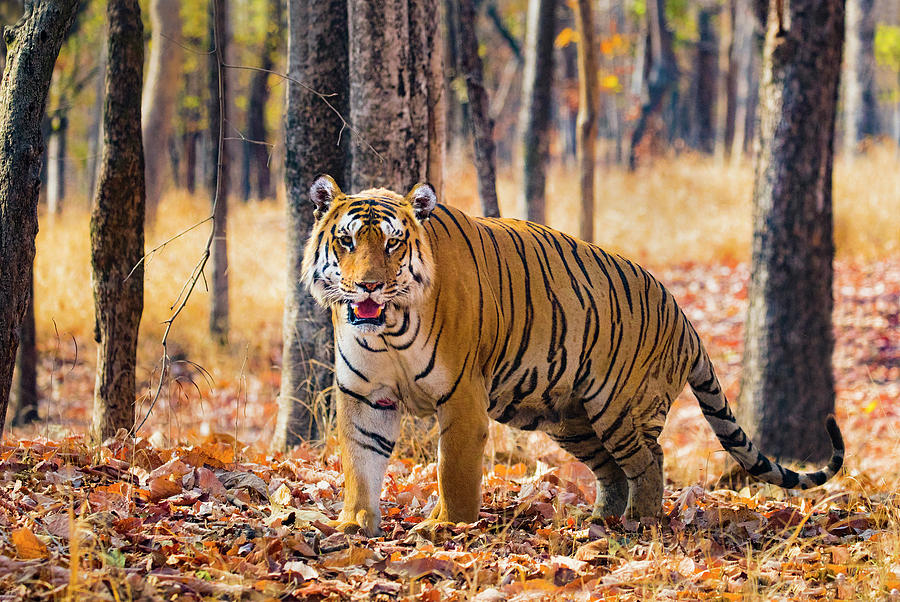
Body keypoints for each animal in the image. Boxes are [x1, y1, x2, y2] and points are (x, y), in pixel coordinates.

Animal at [302, 173, 844, 536]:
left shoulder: (461, 397)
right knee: (613, 470)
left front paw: (447, 527)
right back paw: (600, 518)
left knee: (649, 460)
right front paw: (353, 523)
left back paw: (640, 523)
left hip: (617, 406)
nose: (369, 285)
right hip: (569, 418)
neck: (388, 330)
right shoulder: (365, 394)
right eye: (346, 240)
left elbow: (453, 470)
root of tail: (683, 316)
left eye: (393, 244)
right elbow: (360, 460)